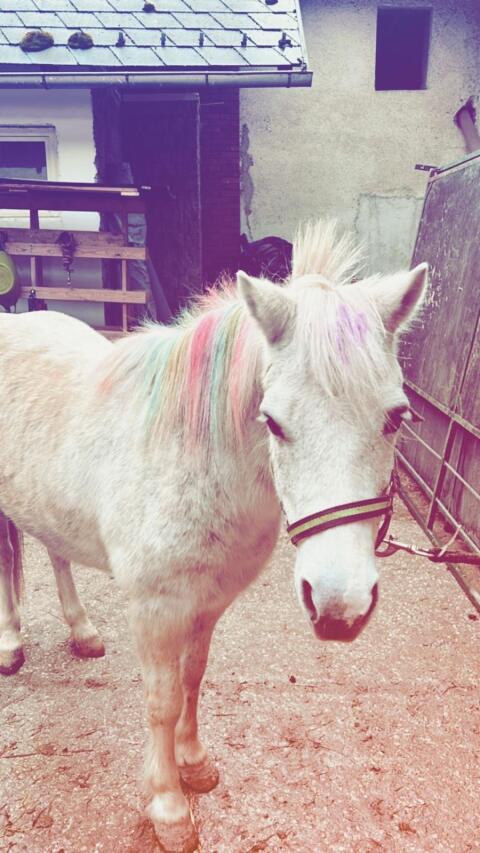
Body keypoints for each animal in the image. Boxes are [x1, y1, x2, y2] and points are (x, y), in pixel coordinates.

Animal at [0, 221, 427, 853]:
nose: (339, 607)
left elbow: (193, 679)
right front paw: (168, 807)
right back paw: (10, 643)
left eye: (396, 417)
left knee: (55, 552)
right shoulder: (155, 611)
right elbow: (161, 701)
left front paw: (194, 764)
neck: (192, 460)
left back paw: (82, 631)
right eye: (273, 422)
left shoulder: (209, 602)